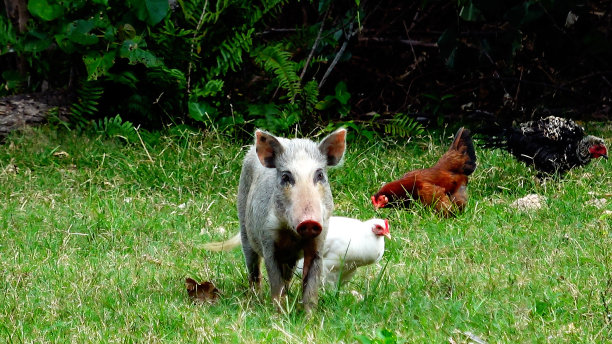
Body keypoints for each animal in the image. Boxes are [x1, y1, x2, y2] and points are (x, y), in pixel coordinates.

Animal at [203, 127, 346, 314]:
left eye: (320, 174)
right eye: (286, 177)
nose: (309, 221)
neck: (292, 235)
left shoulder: (319, 241)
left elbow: (311, 284)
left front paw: (310, 316)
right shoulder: (268, 240)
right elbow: (275, 280)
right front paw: (279, 313)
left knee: (287, 275)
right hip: (244, 227)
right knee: (254, 269)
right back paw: (255, 299)